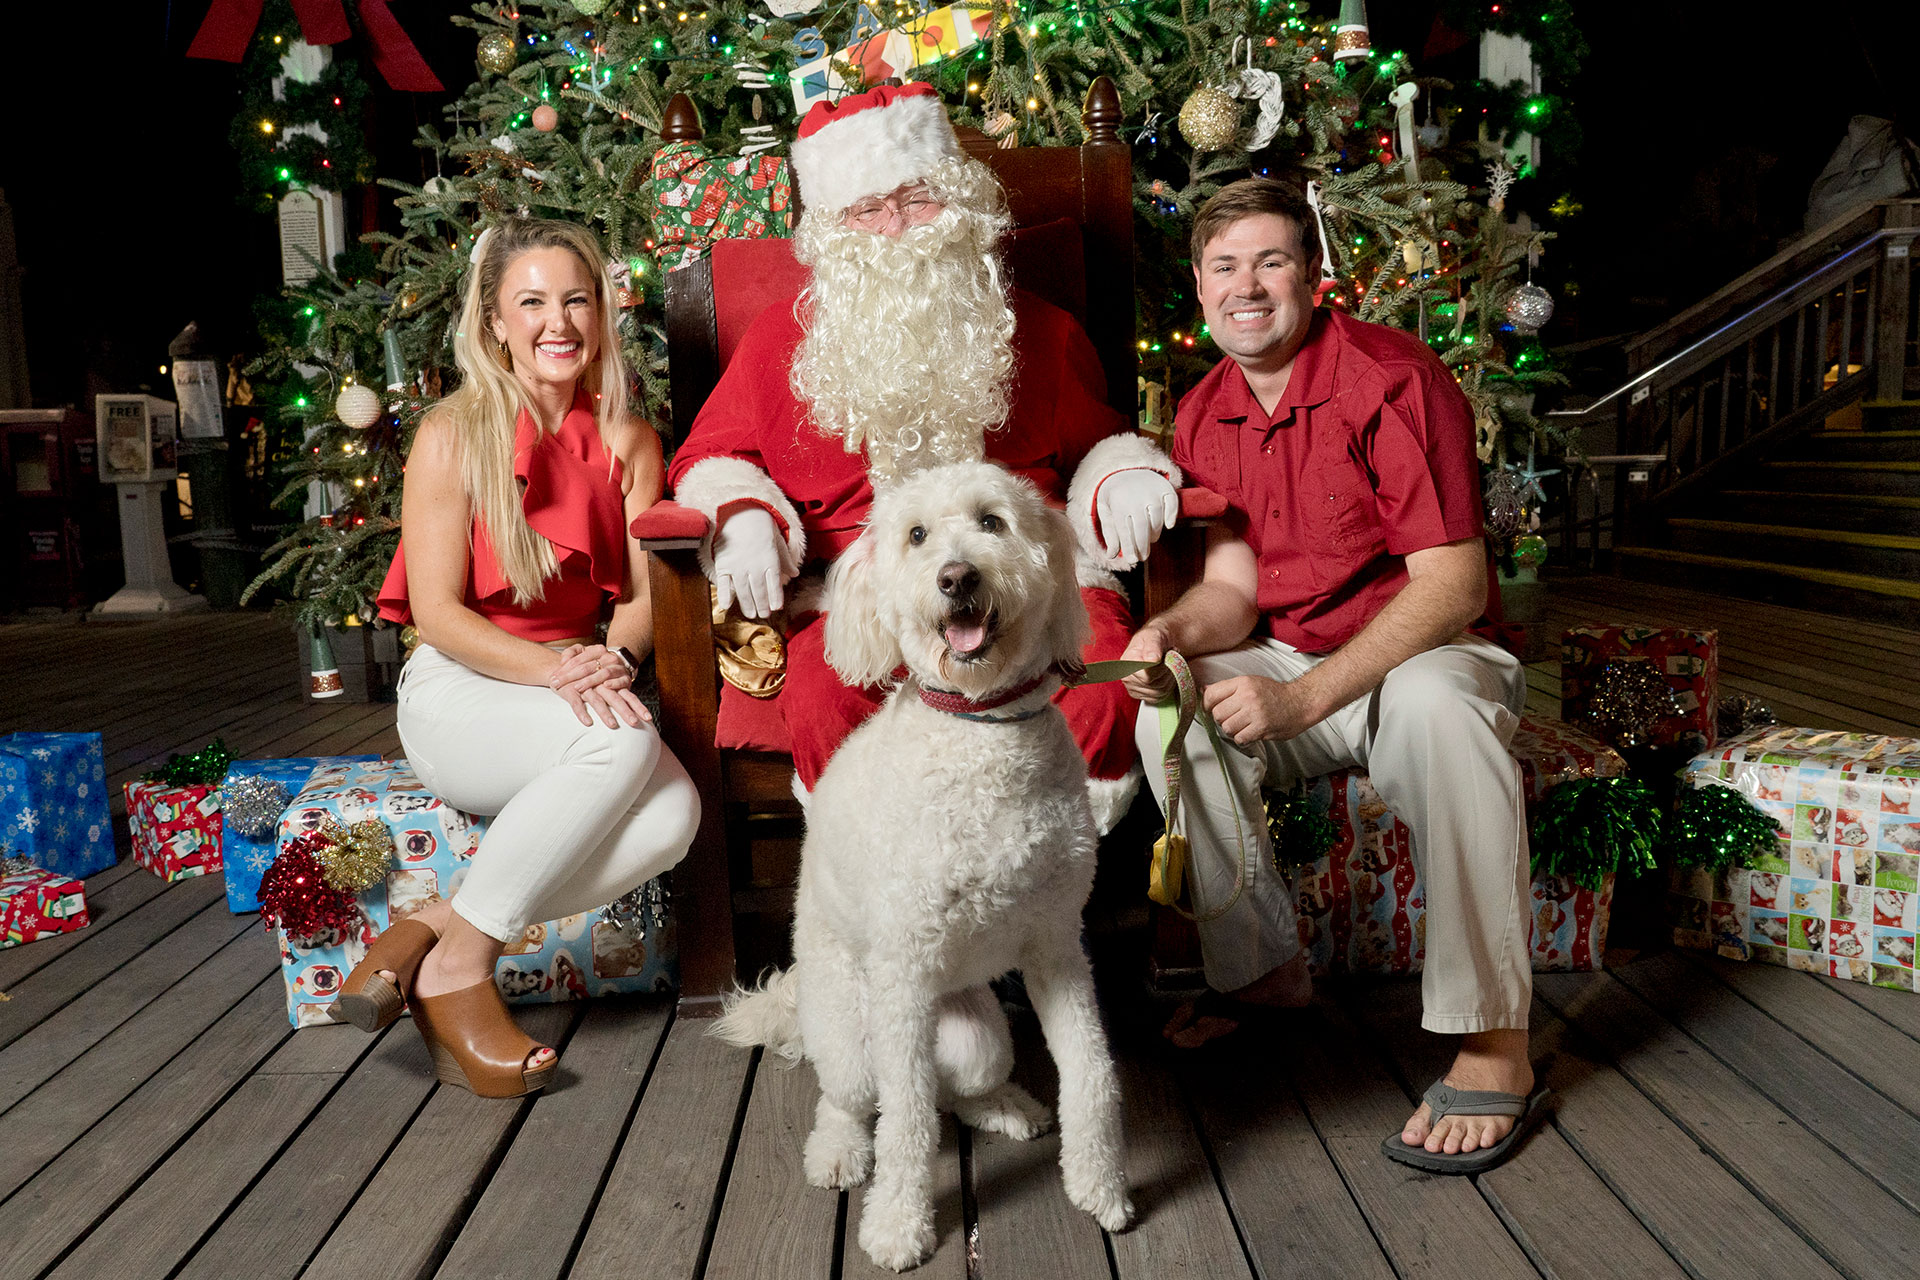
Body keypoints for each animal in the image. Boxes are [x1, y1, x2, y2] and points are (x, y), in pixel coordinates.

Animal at [714, 460, 1128, 1274]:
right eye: (915, 535)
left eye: (992, 521)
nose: (957, 576)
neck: (980, 728)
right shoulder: (904, 973)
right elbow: (903, 1122)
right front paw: (898, 1225)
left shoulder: (1058, 948)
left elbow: (1092, 1071)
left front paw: (1099, 1186)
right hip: (852, 1037)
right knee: (856, 1099)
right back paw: (839, 1151)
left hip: (980, 1038)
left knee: (951, 1092)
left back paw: (1003, 1106)